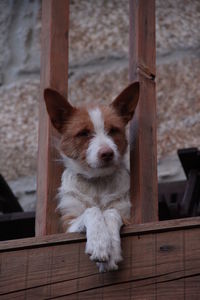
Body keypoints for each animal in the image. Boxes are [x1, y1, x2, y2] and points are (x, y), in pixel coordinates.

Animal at [44, 81, 140, 272]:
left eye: (113, 130)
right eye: (83, 133)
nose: (107, 154)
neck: (97, 182)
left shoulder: (127, 216)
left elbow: (111, 213)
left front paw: (111, 250)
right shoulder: (67, 225)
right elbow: (92, 211)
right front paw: (99, 243)